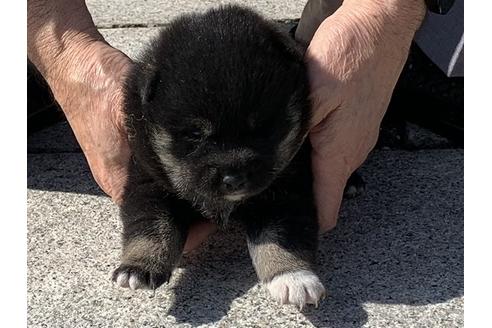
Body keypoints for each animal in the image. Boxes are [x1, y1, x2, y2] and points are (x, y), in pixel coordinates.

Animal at [112, 4, 326, 308]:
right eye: (195, 134)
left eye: (262, 128)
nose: (233, 179)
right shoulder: (148, 179)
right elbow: (151, 224)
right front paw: (138, 267)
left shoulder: (287, 187)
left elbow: (282, 233)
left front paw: (294, 277)